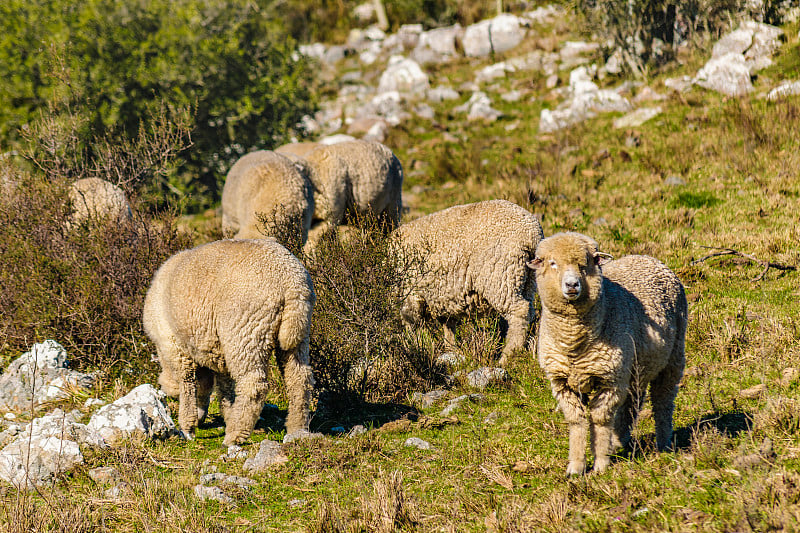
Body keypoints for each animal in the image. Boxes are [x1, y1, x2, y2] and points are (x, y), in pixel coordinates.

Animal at [144, 238, 316, 444]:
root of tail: (291, 283)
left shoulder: (176, 347)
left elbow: (188, 384)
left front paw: (187, 426)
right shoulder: (218, 353)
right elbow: (223, 388)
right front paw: (225, 414)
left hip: (245, 331)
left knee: (253, 385)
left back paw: (235, 435)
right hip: (297, 335)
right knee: (299, 379)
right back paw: (296, 428)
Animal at [392, 200, 544, 366]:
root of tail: (532, 233)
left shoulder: (411, 295)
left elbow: (411, 323)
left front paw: (413, 345)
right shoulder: (442, 297)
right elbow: (448, 325)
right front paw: (450, 350)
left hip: (500, 276)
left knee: (519, 311)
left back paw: (506, 357)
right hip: (528, 279)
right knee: (529, 311)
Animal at [532, 232, 688, 474]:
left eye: (586, 263)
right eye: (552, 263)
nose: (572, 284)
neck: (573, 342)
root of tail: (647, 258)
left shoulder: (610, 380)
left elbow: (600, 420)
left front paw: (601, 465)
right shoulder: (562, 382)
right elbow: (576, 421)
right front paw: (575, 467)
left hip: (672, 358)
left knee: (663, 401)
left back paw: (663, 444)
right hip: (635, 367)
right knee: (633, 402)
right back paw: (619, 442)